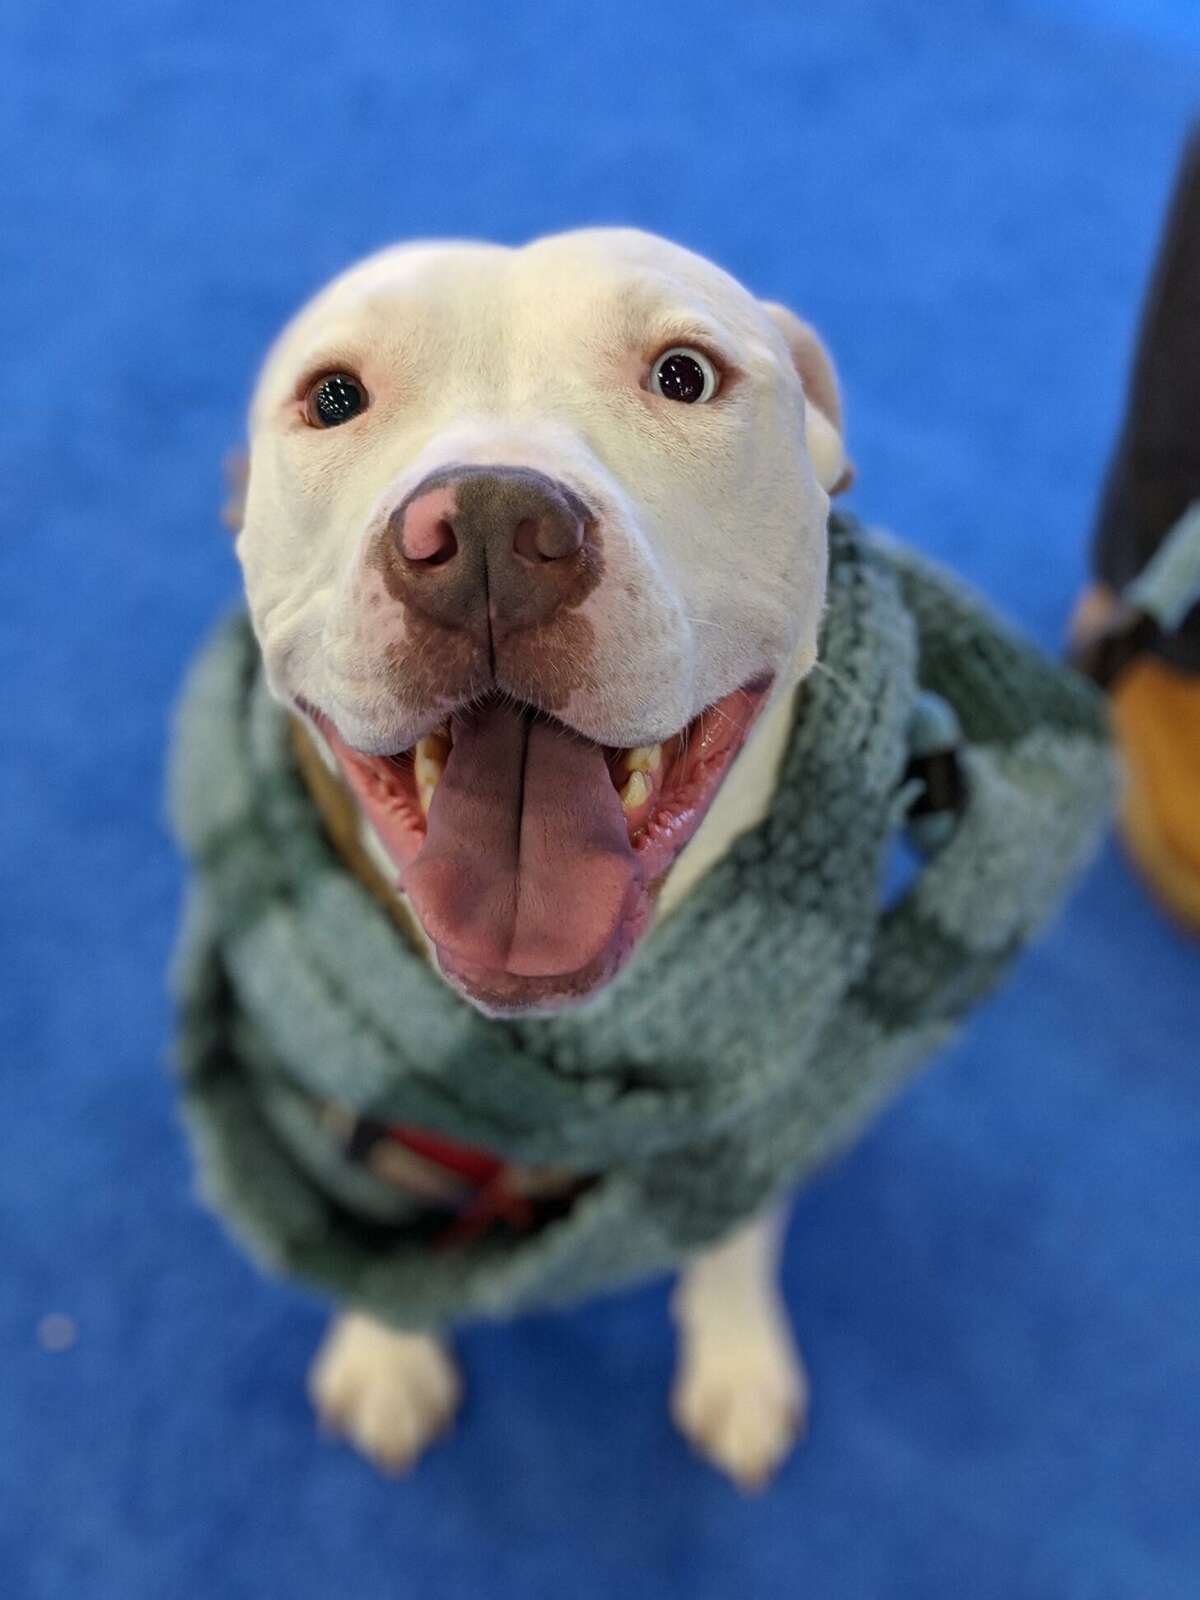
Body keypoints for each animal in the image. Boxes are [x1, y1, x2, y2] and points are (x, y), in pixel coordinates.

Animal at [232, 232, 857, 1491]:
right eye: (334, 397)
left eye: (684, 375)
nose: (484, 530)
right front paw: (387, 1342)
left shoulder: (757, 1087)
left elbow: (735, 1212)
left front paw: (737, 1354)